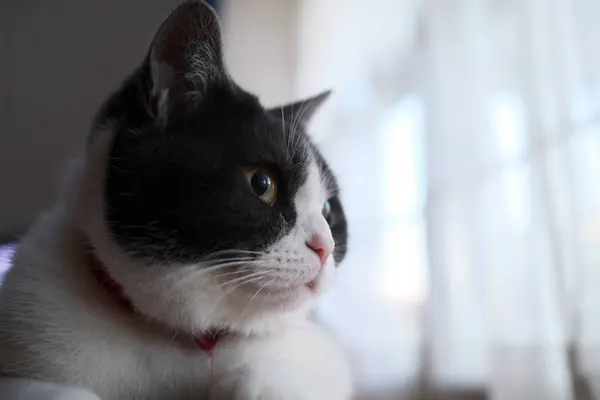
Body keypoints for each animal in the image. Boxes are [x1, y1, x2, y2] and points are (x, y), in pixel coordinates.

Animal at [0, 1, 352, 398]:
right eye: (262, 183)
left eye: (328, 209)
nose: (324, 246)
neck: (187, 340)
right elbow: (66, 391)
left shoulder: (318, 353)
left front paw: (251, 383)